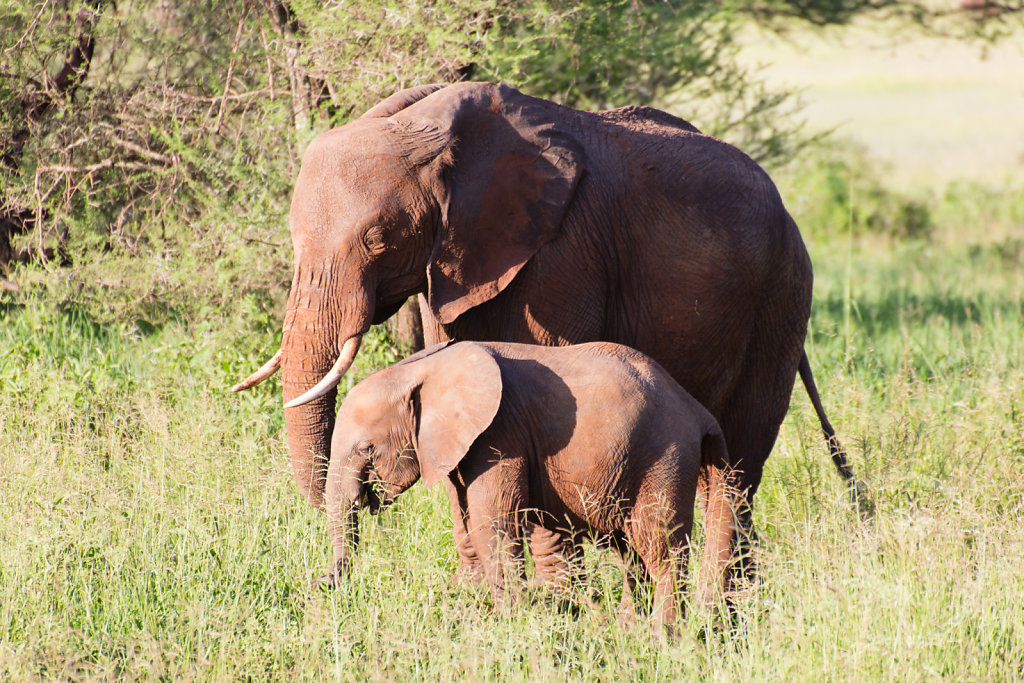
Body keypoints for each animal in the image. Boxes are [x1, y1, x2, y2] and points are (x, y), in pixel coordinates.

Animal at [235, 80, 860, 581]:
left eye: (377, 238)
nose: (367, 502)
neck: (432, 130)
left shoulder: (562, 253)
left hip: (781, 298)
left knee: (737, 469)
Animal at [319, 342, 737, 630]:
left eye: (367, 449)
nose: (322, 582)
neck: (424, 368)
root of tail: (699, 413)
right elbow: (467, 522)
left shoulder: (500, 434)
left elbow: (492, 525)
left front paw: (510, 622)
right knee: (631, 553)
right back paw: (630, 632)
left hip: (664, 458)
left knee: (660, 549)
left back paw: (661, 638)